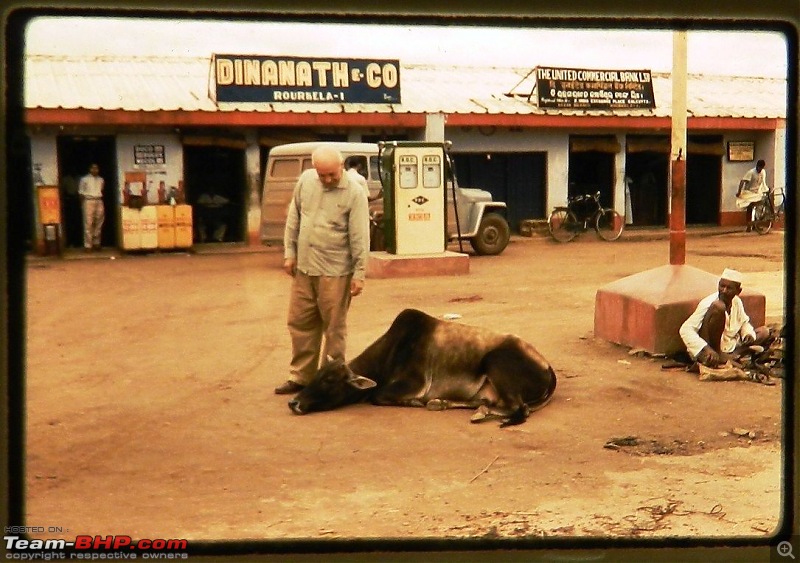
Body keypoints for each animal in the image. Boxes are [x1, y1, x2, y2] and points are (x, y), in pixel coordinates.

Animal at [288, 308, 556, 428]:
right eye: (318, 374)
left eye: (329, 380)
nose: (294, 402)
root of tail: (548, 367)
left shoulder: (412, 383)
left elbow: (378, 395)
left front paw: (416, 402)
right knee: (492, 403)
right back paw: (448, 404)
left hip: (496, 362)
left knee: (520, 409)